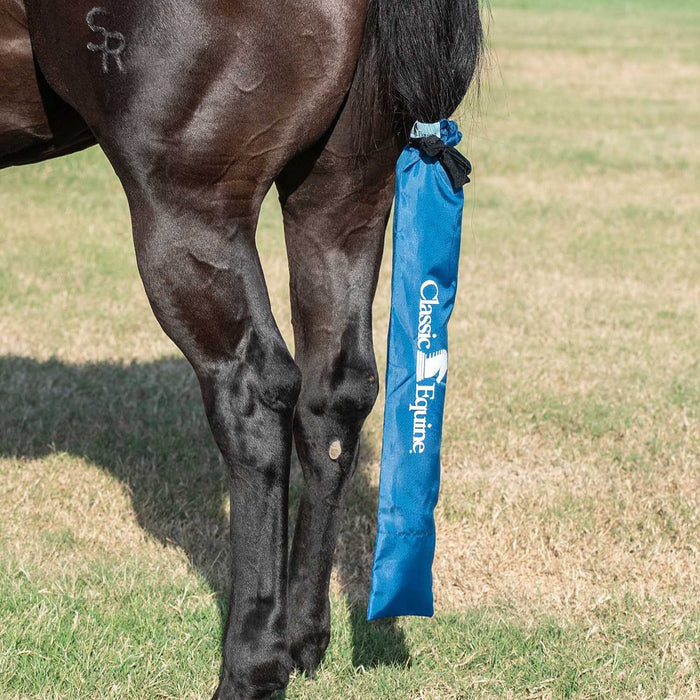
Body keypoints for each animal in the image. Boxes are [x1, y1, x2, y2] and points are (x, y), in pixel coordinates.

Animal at [0, 1, 483, 697]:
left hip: (189, 210)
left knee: (254, 394)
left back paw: (252, 665)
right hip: (344, 190)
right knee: (335, 394)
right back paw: (303, 639)